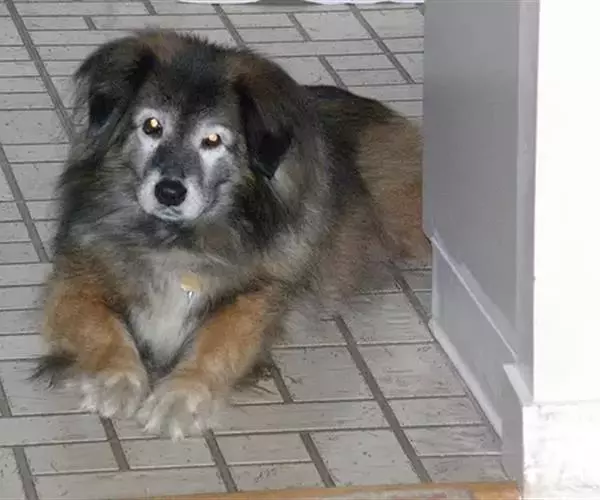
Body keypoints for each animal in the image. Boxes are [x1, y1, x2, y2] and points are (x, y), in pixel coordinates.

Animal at [35, 30, 429, 440]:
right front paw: (116, 379)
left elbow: (218, 342)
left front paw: (180, 396)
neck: (177, 239)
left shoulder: (259, 297)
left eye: (212, 140)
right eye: (152, 126)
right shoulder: (75, 282)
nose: (169, 191)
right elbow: (104, 329)